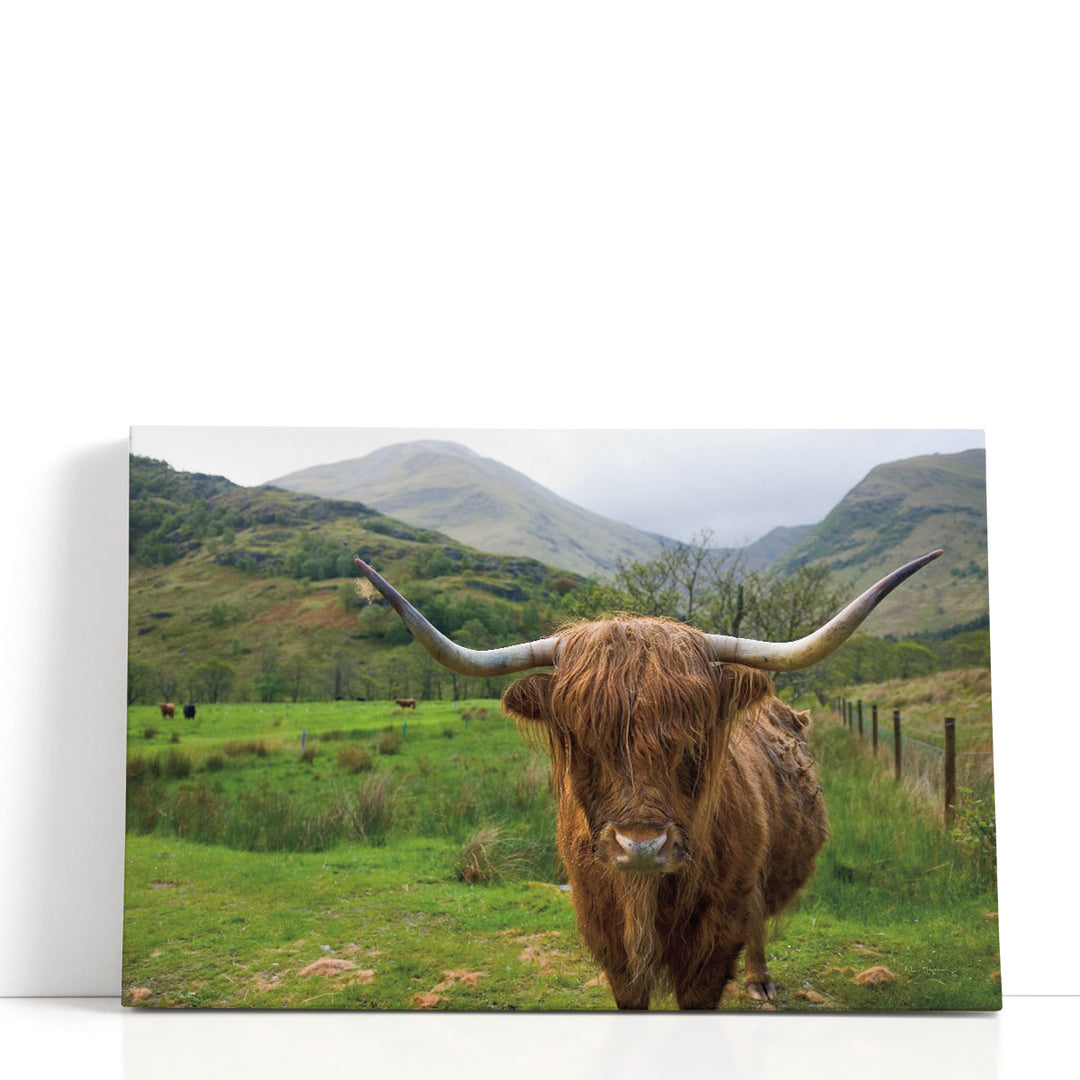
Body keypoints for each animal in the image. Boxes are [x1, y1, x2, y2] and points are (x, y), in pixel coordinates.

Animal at [354, 550, 942, 1010]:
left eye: (693, 738)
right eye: (581, 738)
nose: (640, 845)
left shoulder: (712, 941)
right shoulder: (606, 934)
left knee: (756, 919)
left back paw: (760, 982)